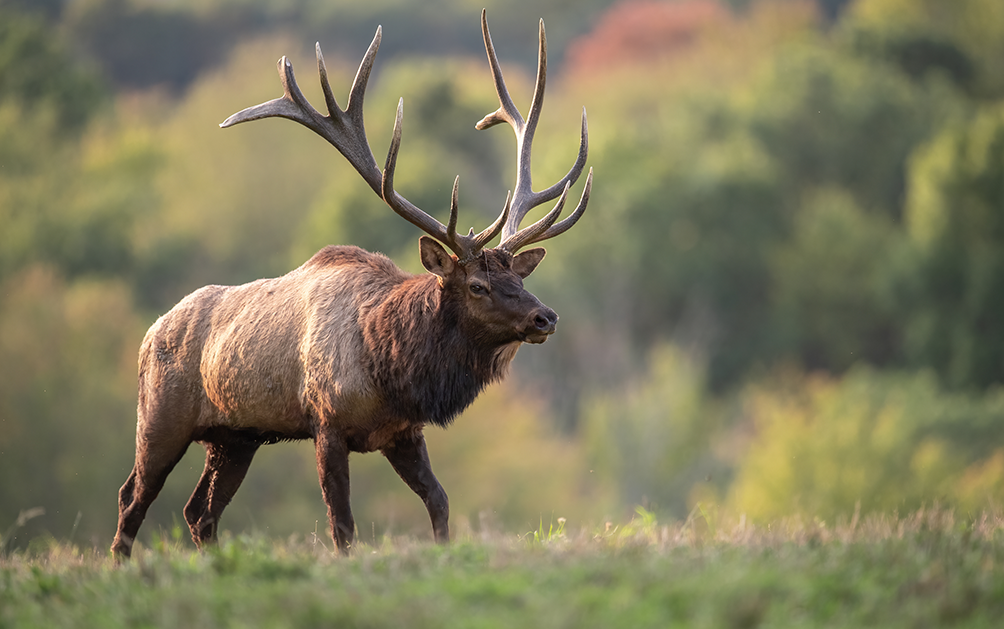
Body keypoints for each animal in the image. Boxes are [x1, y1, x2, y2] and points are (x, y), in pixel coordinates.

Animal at [111, 10, 591, 558]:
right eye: (476, 286)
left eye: (517, 275)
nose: (544, 317)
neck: (390, 364)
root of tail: (150, 333)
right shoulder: (328, 422)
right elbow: (342, 524)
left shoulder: (402, 431)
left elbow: (440, 502)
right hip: (160, 417)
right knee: (132, 497)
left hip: (235, 436)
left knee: (199, 512)